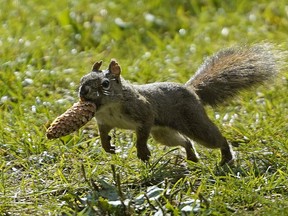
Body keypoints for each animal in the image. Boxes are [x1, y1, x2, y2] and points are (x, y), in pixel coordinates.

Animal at [77, 44, 282, 165]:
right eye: (81, 79)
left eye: (105, 84)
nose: (83, 92)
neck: (110, 107)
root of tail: (190, 90)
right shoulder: (104, 121)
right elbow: (103, 135)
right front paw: (107, 146)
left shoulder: (144, 112)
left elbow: (142, 133)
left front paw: (142, 151)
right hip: (163, 133)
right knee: (185, 141)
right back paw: (192, 157)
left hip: (195, 124)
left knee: (216, 139)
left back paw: (226, 158)